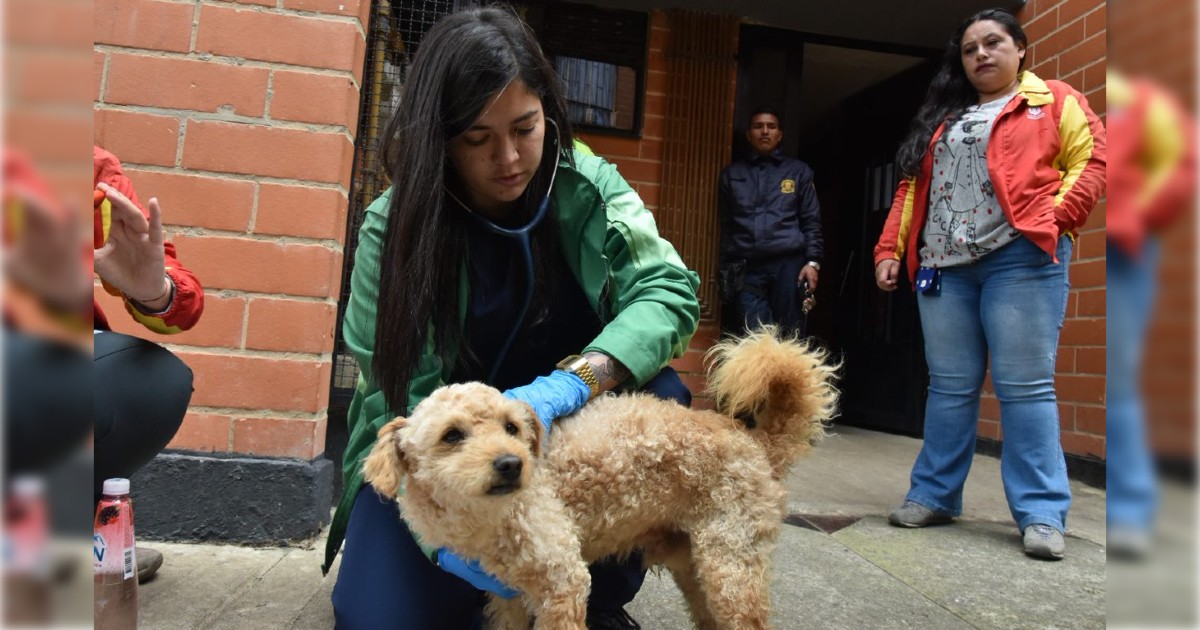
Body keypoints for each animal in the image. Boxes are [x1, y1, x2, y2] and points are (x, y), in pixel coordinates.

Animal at [360, 326, 840, 624]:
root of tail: (756, 440)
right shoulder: (506, 596)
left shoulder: (565, 582)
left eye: (512, 427)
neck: (489, 520)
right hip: (695, 568)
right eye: (452, 435)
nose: (512, 463)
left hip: (731, 566)